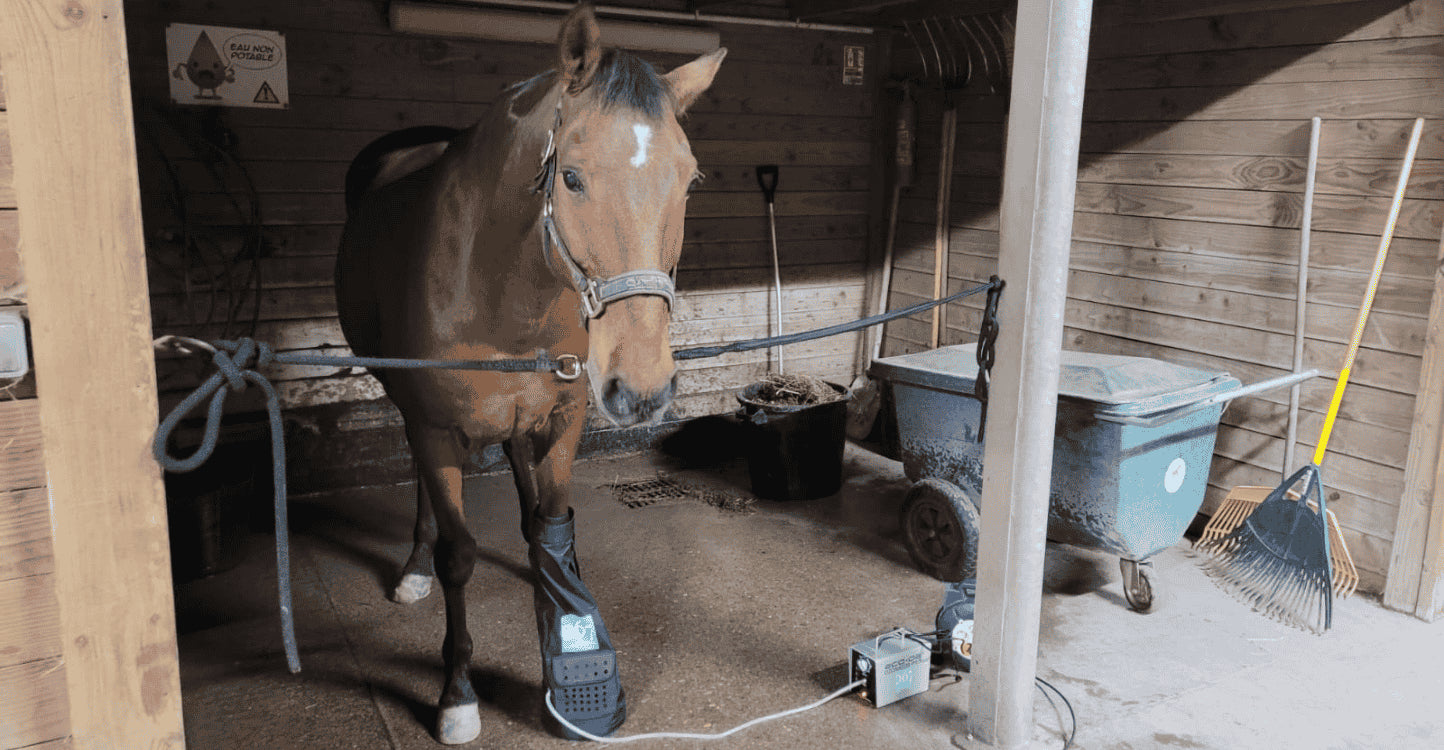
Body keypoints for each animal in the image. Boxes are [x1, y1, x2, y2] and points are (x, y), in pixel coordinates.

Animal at [334, 5, 725, 744]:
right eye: (569, 177)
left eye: (689, 181)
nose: (642, 389)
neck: (502, 287)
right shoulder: (435, 428)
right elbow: (458, 555)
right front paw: (457, 695)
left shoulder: (563, 419)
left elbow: (552, 517)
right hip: (409, 407)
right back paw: (412, 570)